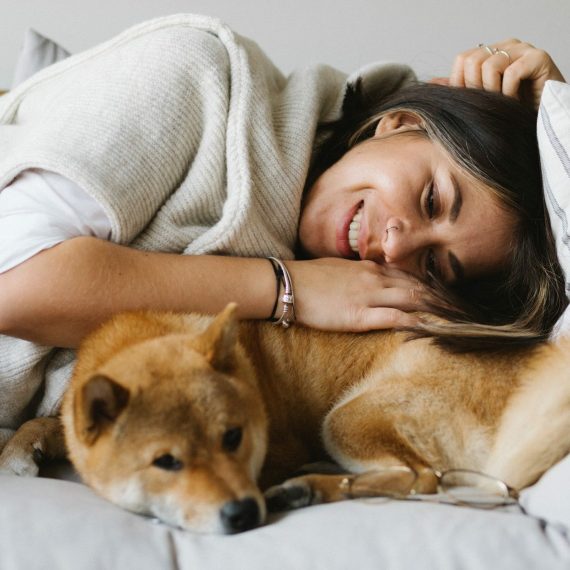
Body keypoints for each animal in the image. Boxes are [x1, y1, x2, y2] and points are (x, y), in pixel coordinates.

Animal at [3, 304, 568, 532]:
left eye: (233, 438)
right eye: (166, 462)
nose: (243, 514)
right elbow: (48, 422)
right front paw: (21, 449)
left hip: (346, 418)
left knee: (421, 479)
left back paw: (308, 486)